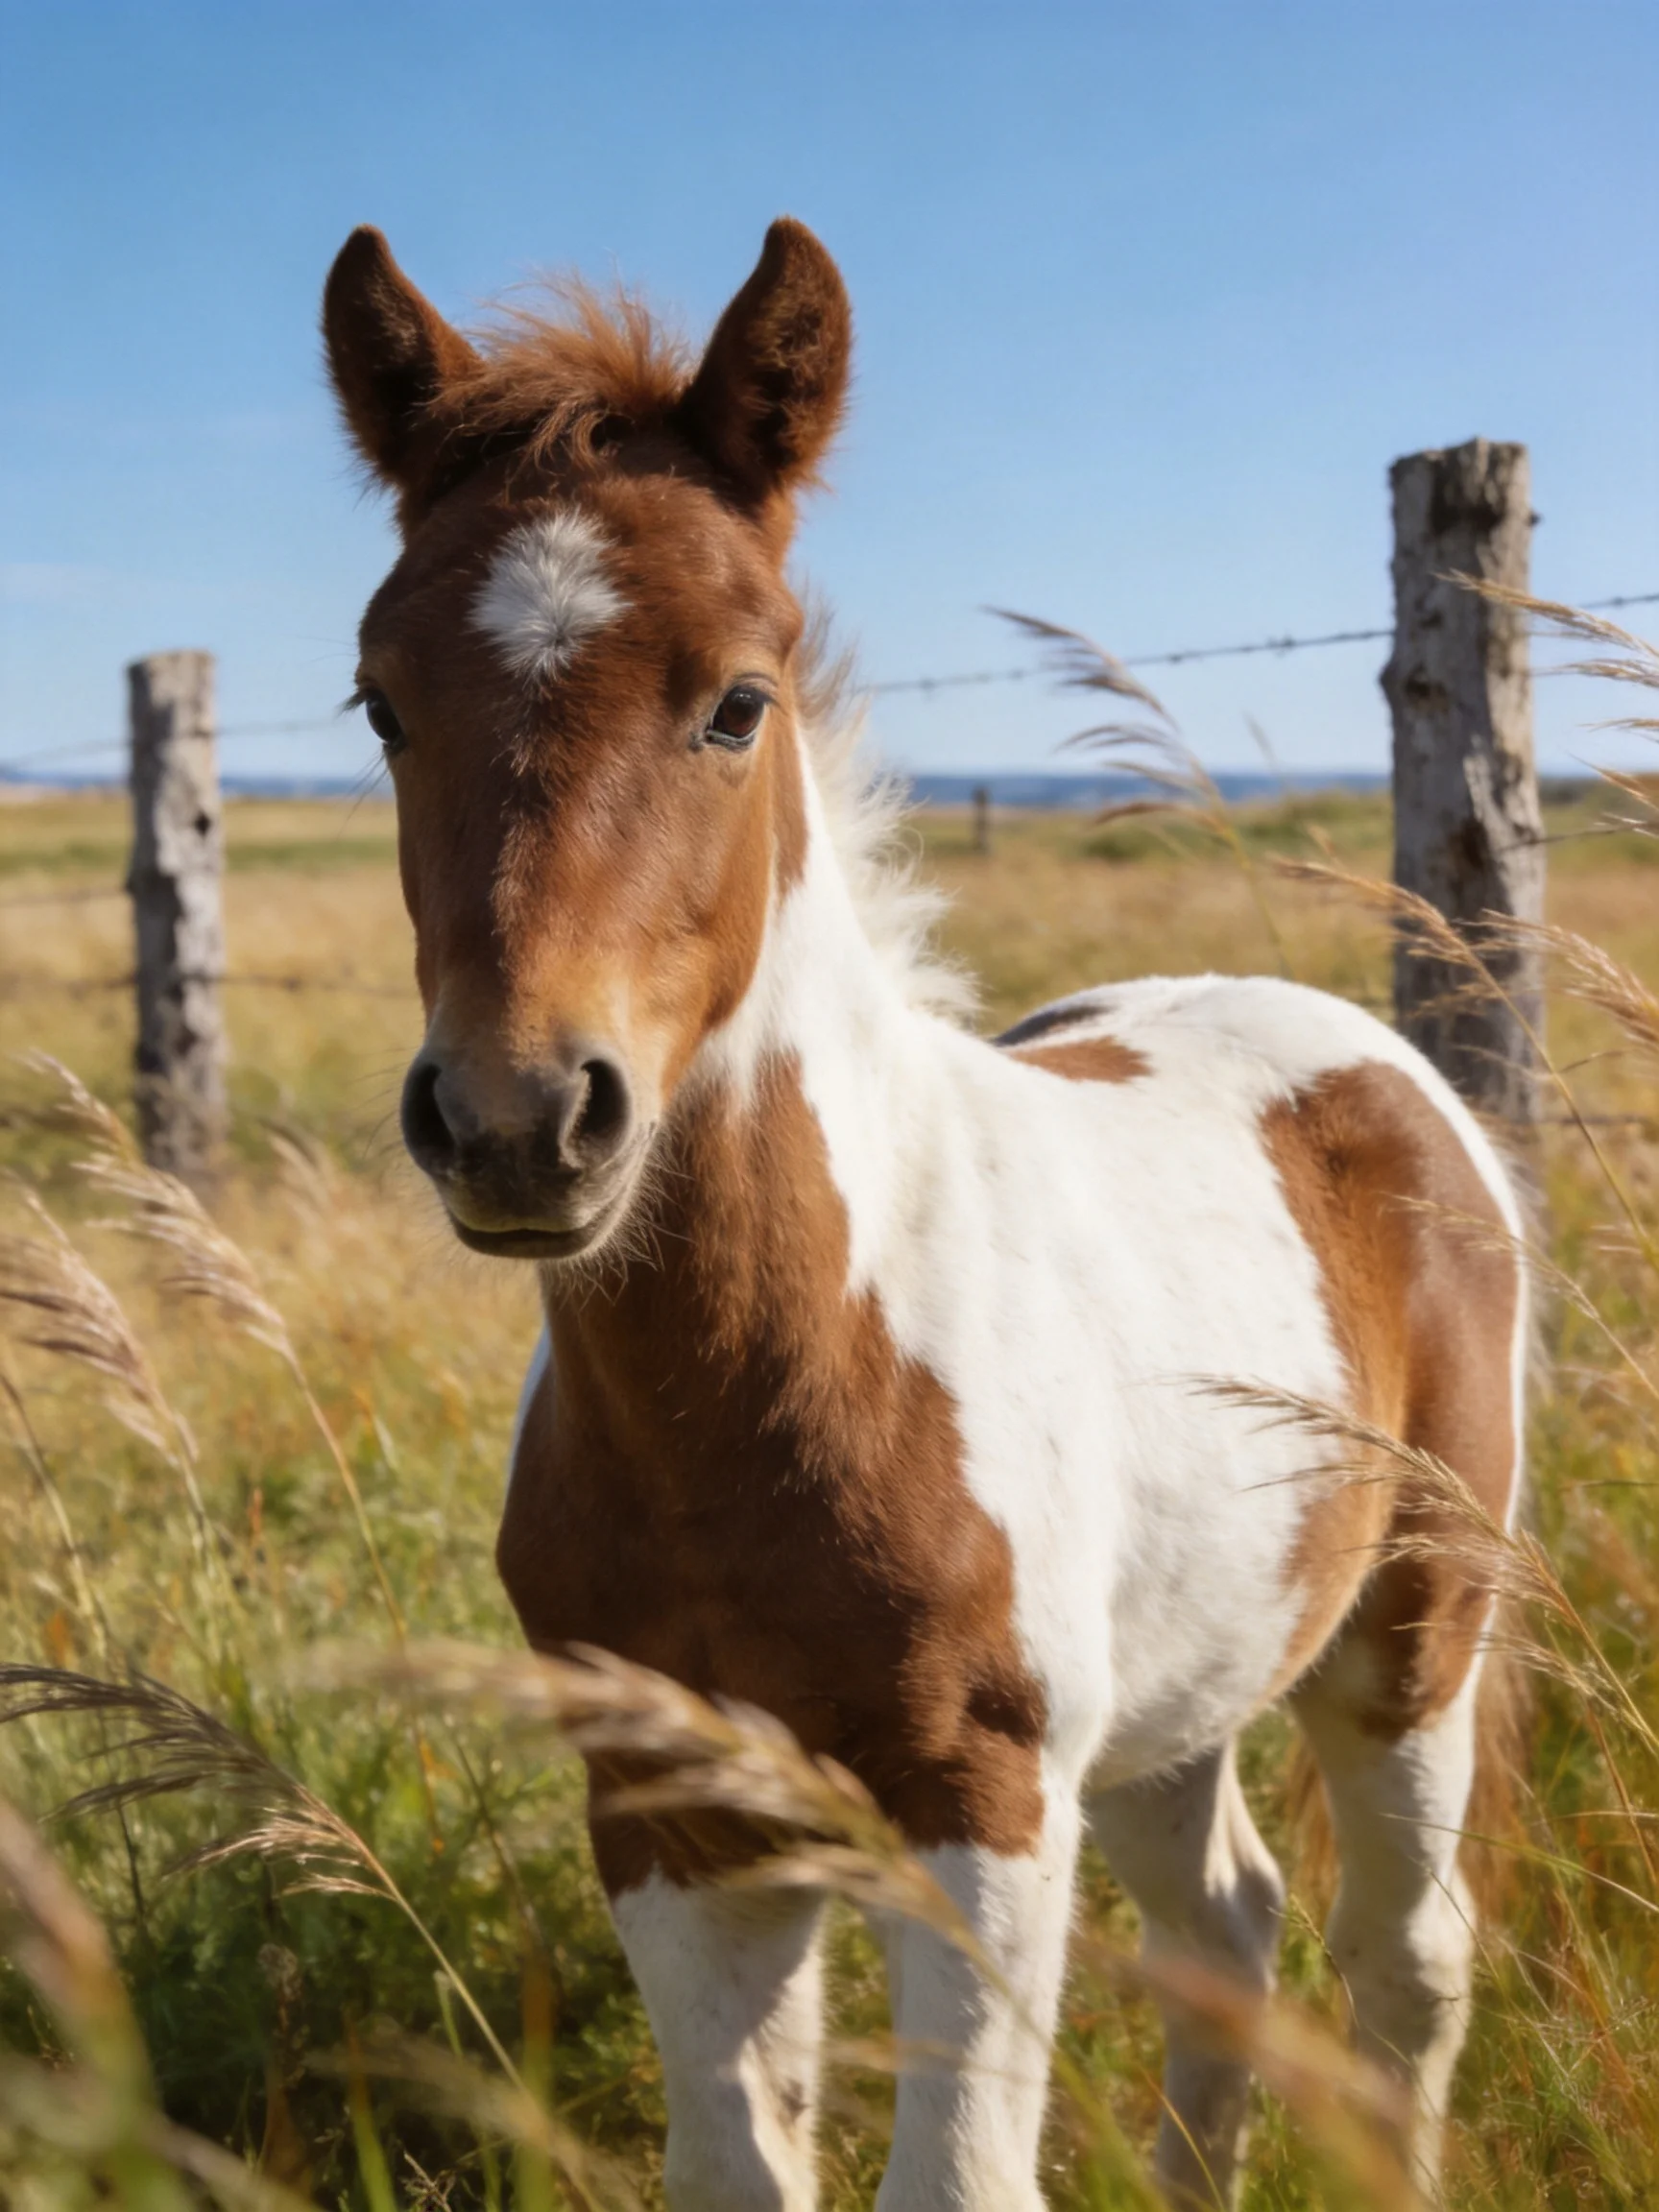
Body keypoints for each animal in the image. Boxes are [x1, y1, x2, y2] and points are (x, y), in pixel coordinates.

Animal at [322, 217, 1526, 2210]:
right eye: (381, 703)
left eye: (737, 701)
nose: (516, 1122)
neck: (763, 1384)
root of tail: (1369, 1056)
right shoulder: (664, 1807)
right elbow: (738, 2164)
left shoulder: (978, 1796)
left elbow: (957, 2175)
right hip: (1165, 1694)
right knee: (1225, 1927)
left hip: (1408, 1627)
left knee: (1402, 1952)